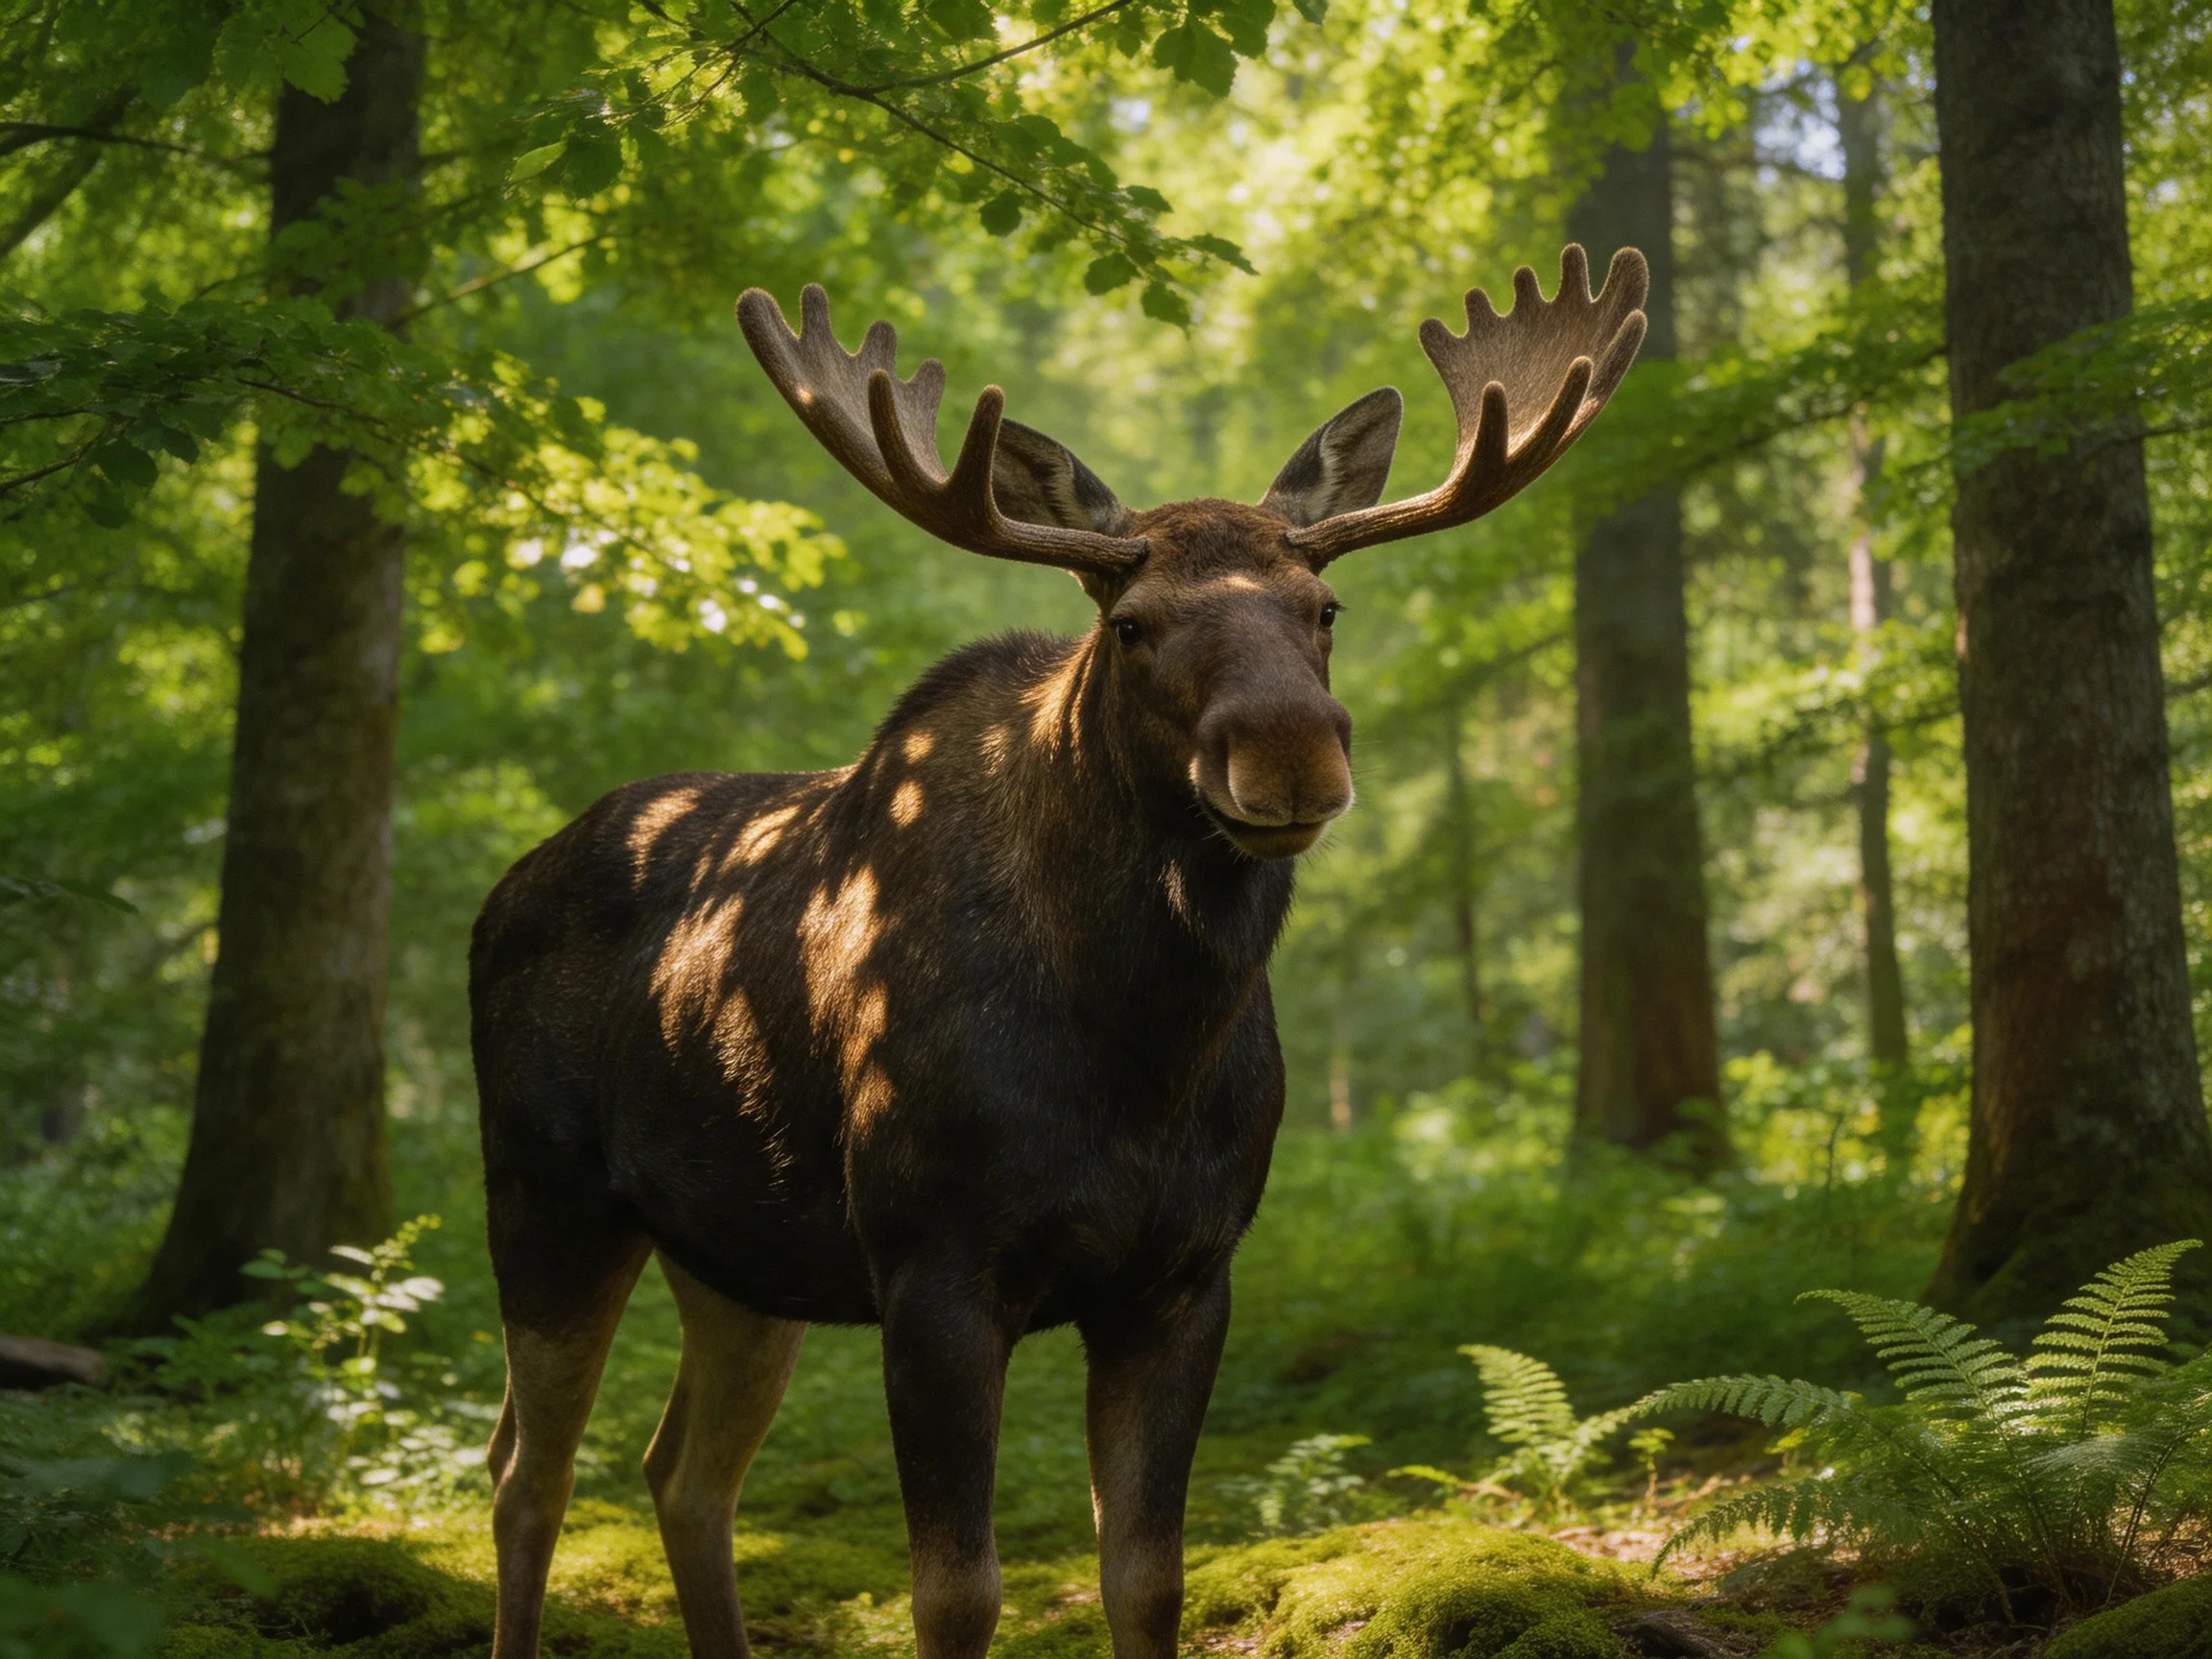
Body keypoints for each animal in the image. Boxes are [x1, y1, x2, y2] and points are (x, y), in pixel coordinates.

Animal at [471, 243, 1647, 1659]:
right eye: (1131, 621)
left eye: (1325, 606)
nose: (1293, 750)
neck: (1139, 1052)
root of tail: (499, 892)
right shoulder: (933, 1263)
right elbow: (955, 1592)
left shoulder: (1186, 1275)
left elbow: (1145, 1576)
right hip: (546, 1195)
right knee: (526, 1476)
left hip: (740, 1252)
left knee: (681, 1473)